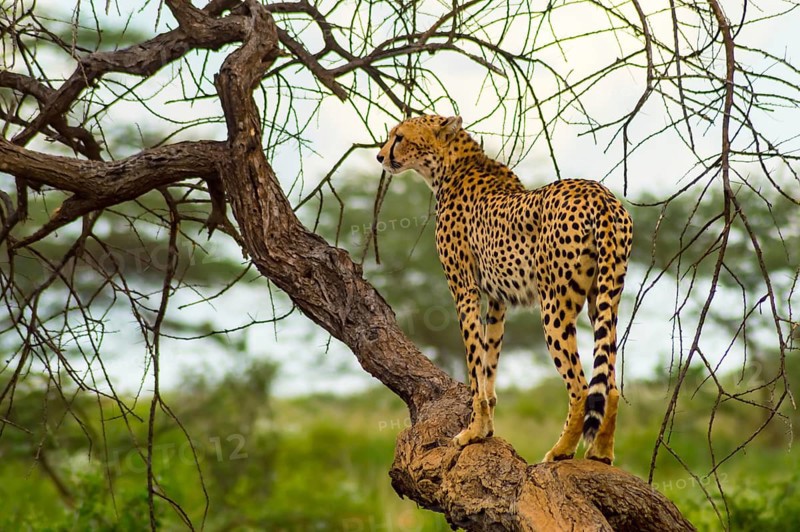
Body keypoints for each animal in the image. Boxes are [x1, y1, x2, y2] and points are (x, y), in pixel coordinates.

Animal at [376, 115, 633, 464]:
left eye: (399, 137)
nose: (380, 156)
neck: (451, 166)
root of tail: (599, 192)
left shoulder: (465, 290)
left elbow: (474, 365)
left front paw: (472, 432)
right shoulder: (498, 299)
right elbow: (489, 364)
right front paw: (485, 429)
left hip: (554, 305)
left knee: (580, 387)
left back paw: (561, 451)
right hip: (604, 299)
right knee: (610, 383)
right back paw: (600, 453)